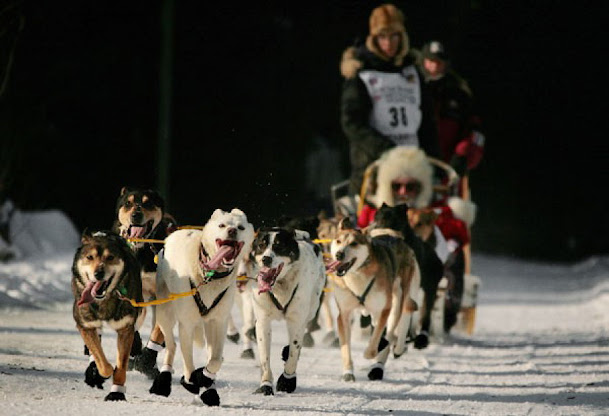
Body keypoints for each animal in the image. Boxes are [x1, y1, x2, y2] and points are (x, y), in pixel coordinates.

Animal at [249, 226, 326, 394]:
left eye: (279, 245)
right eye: (261, 245)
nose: (266, 259)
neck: (280, 286)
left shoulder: (296, 320)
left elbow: (293, 352)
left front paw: (287, 380)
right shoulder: (263, 321)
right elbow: (265, 357)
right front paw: (265, 383)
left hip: (310, 310)